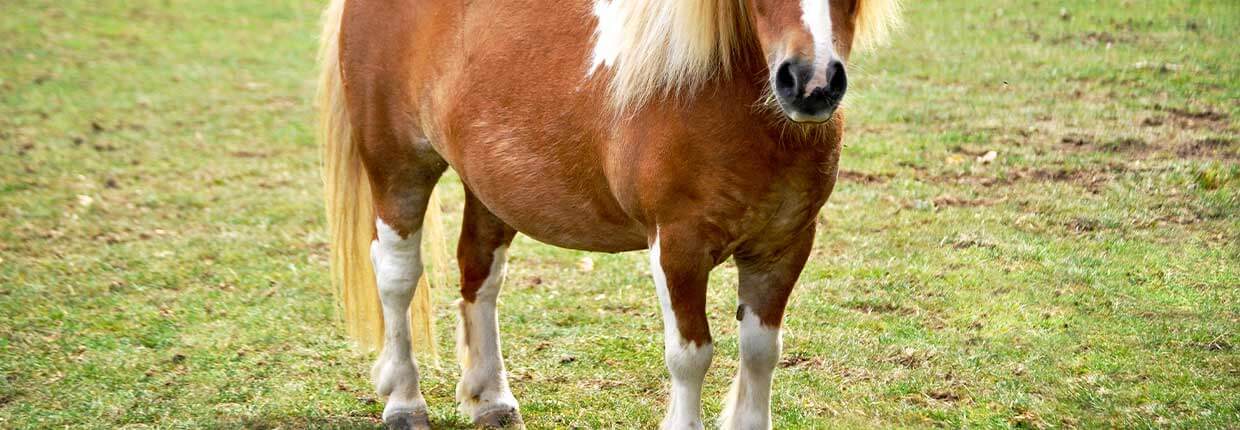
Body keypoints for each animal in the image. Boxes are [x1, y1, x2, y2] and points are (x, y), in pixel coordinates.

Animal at [314, 0, 902, 428]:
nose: (811, 83)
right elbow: (691, 355)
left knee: (479, 274)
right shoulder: (678, 248)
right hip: (397, 168)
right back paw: (404, 404)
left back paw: (491, 401)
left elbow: (760, 352)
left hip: (488, 187)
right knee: (396, 276)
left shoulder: (783, 247)